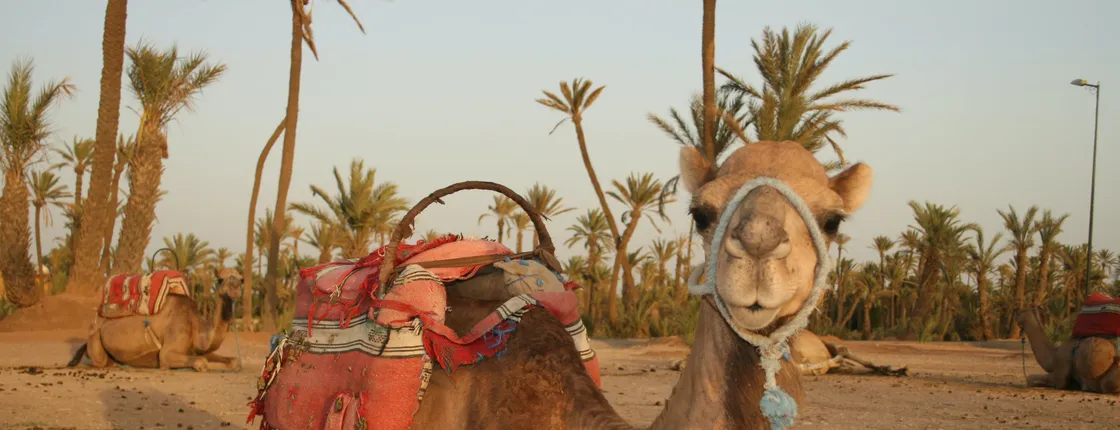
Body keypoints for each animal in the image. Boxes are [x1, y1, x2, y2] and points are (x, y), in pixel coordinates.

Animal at [67, 268, 243, 372]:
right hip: (95, 339)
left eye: (241, 279)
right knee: (98, 361)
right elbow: (201, 362)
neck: (196, 325)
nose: (235, 289)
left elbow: (232, 360)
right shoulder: (166, 353)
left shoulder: (196, 349)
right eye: (220, 279)